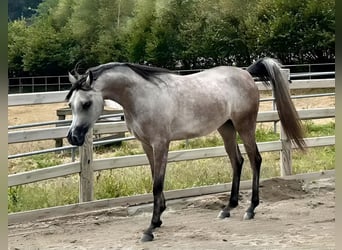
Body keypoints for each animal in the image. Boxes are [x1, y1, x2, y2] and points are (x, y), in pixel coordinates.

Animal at [66, 57, 304, 241]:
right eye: (70, 105)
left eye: (86, 103)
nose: (73, 137)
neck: (142, 95)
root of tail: (245, 72)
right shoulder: (147, 145)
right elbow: (155, 179)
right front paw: (158, 219)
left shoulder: (161, 143)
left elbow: (157, 183)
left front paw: (150, 228)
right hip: (226, 128)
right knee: (237, 161)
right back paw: (228, 208)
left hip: (245, 126)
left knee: (255, 159)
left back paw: (251, 209)